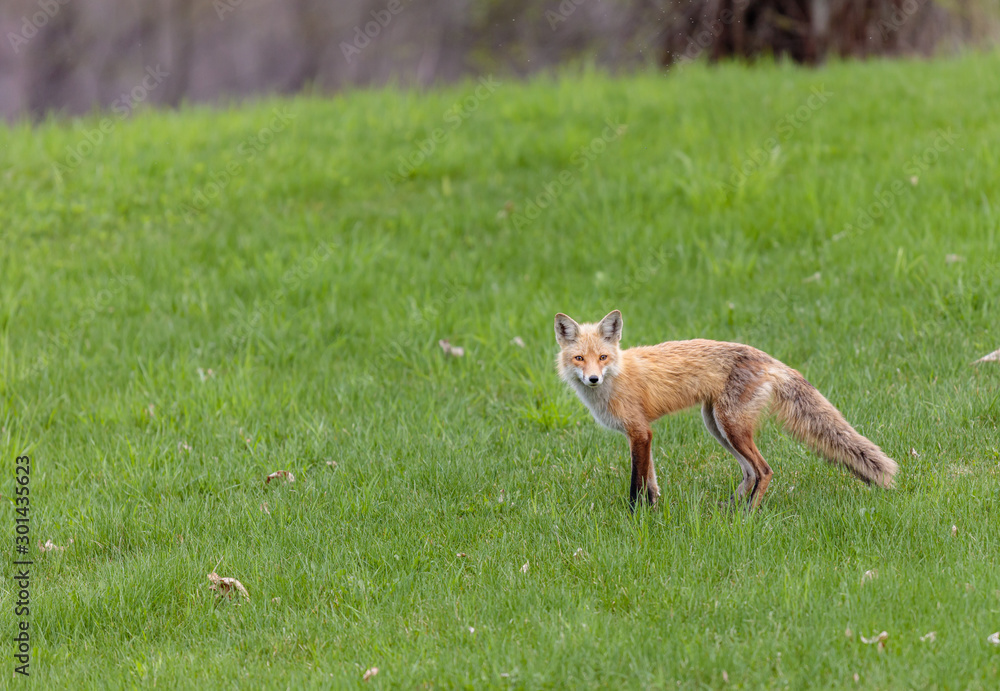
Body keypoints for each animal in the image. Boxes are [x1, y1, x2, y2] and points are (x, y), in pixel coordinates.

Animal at [554, 310, 897, 509]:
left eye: (602, 357)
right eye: (579, 359)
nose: (593, 378)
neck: (616, 377)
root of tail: (768, 359)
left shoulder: (640, 432)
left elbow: (636, 485)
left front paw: (635, 518)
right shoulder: (640, 435)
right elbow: (651, 482)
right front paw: (653, 512)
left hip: (730, 425)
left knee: (764, 470)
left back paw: (748, 516)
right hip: (716, 426)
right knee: (749, 472)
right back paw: (729, 509)